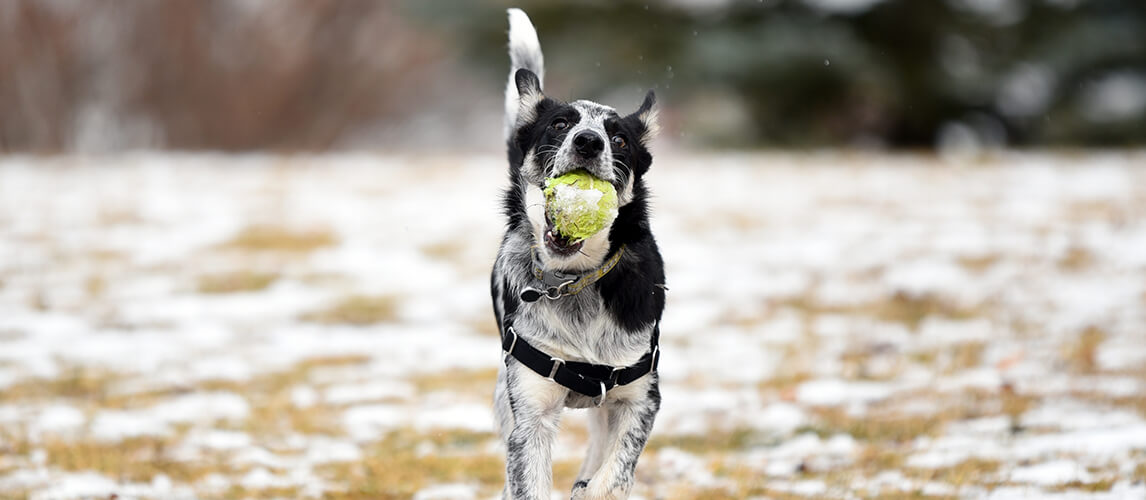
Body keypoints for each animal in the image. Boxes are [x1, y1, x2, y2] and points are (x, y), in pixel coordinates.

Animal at [490, 7, 669, 499]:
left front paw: (594, 486)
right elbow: (527, 478)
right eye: (560, 124)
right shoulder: (529, 409)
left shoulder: (639, 396)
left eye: (619, 138)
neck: (576, 281)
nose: (589, 141)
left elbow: (615, 472)